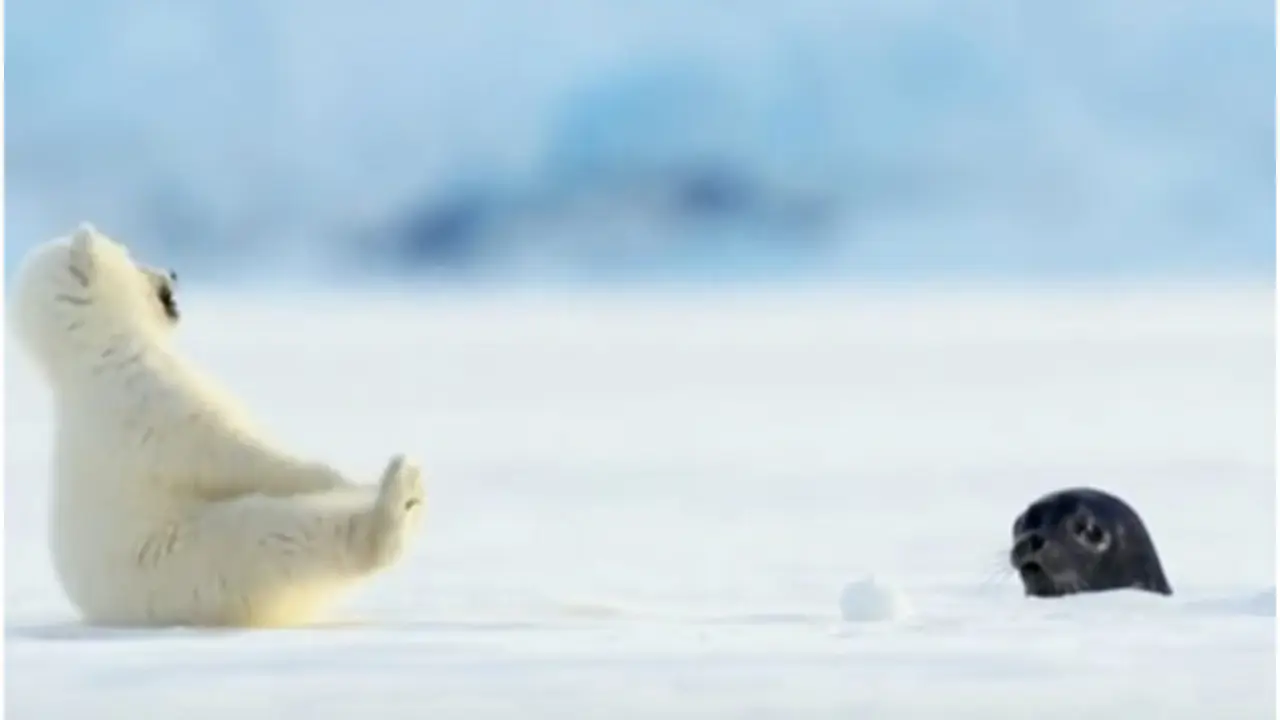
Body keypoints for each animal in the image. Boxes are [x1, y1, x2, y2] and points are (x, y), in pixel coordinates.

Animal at [9, 223, 426, 628]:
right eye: (129, 253)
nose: (171, 273)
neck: (94, 356)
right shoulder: (148, 400)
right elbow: (230, 449)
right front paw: (340, 478)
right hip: (195, 558)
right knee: (280, 536)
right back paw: (399, 492)